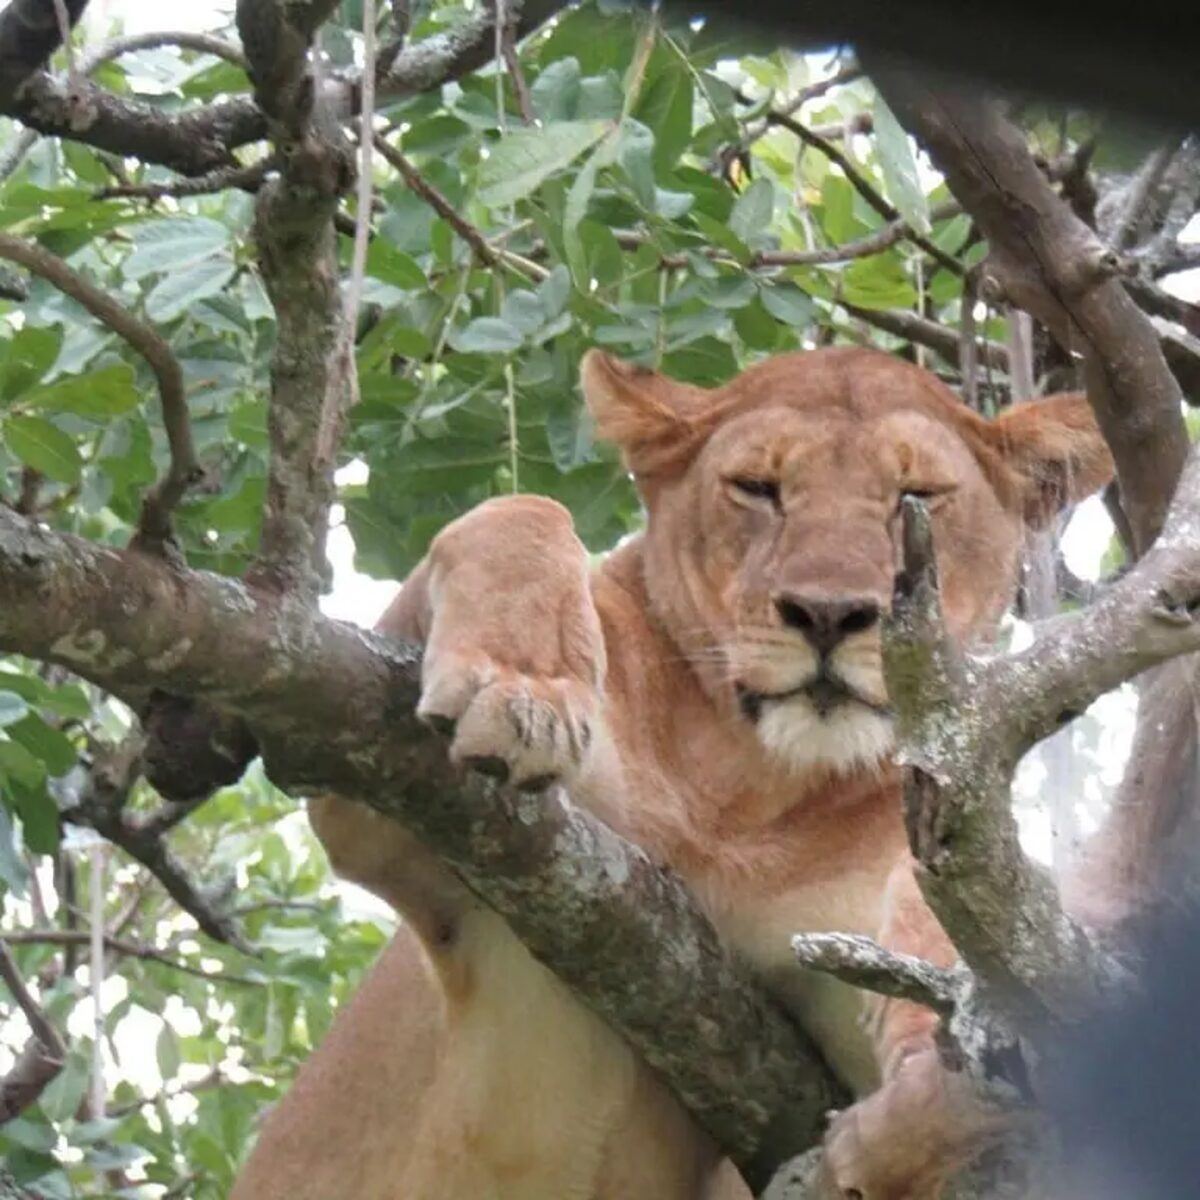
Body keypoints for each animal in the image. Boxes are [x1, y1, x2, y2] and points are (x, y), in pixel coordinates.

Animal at [231, 346, 1113, 1200]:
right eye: (758, 488)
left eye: (916, 495)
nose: (829, 614)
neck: (745, 786)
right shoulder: (374, 804)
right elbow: (524, 511)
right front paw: (523, 687)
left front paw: (925, 1110)